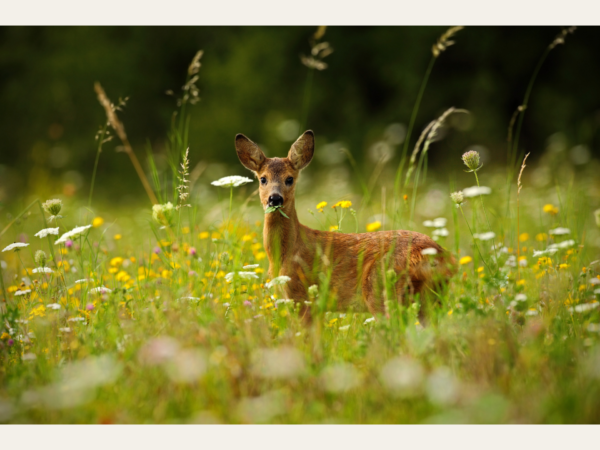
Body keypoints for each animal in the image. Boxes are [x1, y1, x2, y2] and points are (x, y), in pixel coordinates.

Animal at [234, 128, 454, 322]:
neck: (284, 254)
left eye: (289, 179)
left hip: (382, 290)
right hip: (430, 298)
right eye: (263, 179)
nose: (275, 199)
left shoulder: (302, 296)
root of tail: (438, 255)